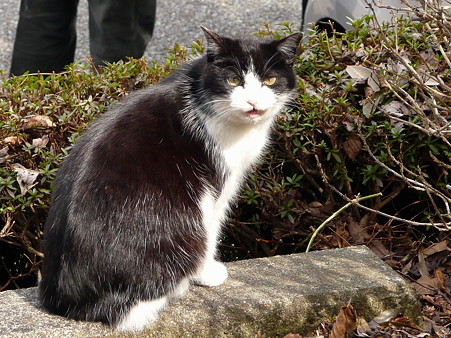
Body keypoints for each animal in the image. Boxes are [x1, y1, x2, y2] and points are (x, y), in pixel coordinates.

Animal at [38, 27, 300, 332]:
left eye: (270, 80)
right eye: (234, 80)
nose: (253, 102)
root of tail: (72, 302)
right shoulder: (215, 186)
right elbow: (212, 228)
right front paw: (207, 273)